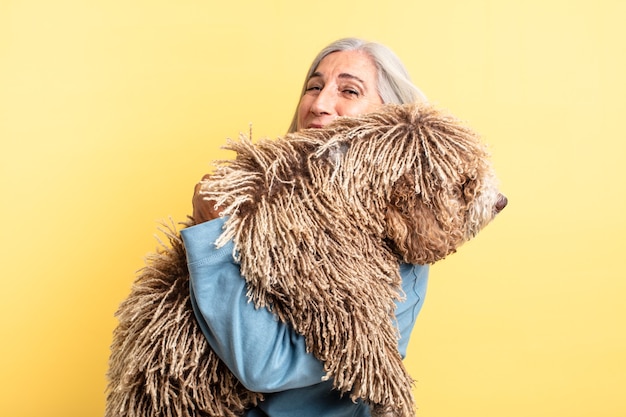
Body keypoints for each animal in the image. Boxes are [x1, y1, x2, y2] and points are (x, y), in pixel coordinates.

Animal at [106, 101, 508, 416]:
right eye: (466, 183)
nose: (501, 201)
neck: (342, 185)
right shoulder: (337, 278)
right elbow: (366, 338)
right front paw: (393, 394)